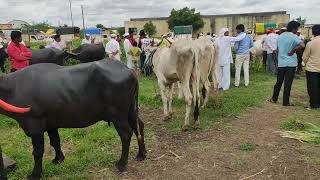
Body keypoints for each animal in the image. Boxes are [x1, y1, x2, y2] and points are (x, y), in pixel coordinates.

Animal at [0, 60, 146, 179]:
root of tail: (129, 70)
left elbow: (37, 152)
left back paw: (121, 164)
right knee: (139, 125)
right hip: (131, 110)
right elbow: (55, 142)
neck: (14, 88)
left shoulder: (35, 127)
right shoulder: (51, 125)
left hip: (118, 116)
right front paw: (58, 159)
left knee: (126, 134)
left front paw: (35, 174)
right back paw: (141, 155)